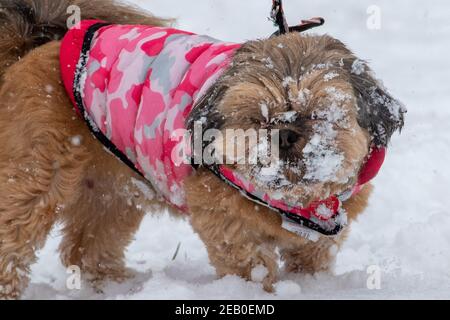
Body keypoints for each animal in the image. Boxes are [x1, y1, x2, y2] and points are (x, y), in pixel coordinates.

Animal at [0, 0, 404, 300]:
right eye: (256, 117)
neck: (295, 199)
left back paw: (115, 285)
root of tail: (39, 44)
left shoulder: (320, 236)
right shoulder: (224, 220)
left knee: (87, 245)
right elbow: (249, 261)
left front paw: (311, 286)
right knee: (16, 234)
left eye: (319, 113)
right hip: (39, 173)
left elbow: (311, 256)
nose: (286, 134)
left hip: (114, 185)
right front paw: (257, 292)